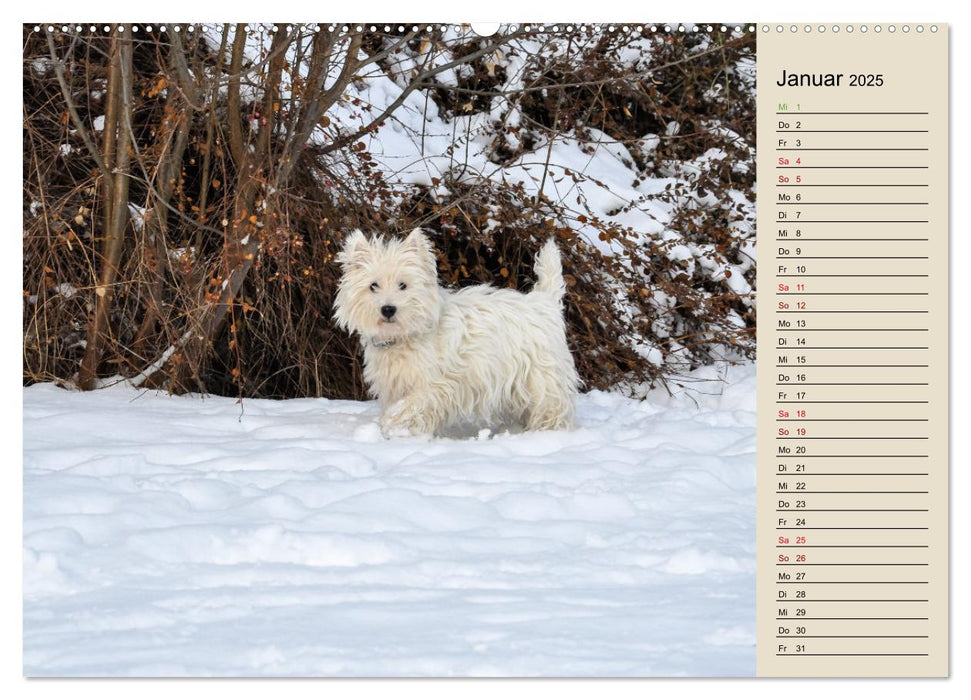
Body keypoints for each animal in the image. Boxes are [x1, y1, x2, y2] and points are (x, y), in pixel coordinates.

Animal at [334, 230, 576, 438]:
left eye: (403, 285)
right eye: (373, 286)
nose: (388, 309)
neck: (406, 337)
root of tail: (545, 301)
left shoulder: (435, 384)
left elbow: (413, 405)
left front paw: (395, 425)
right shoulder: (395, 384)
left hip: (541, 377)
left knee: (550, 406)